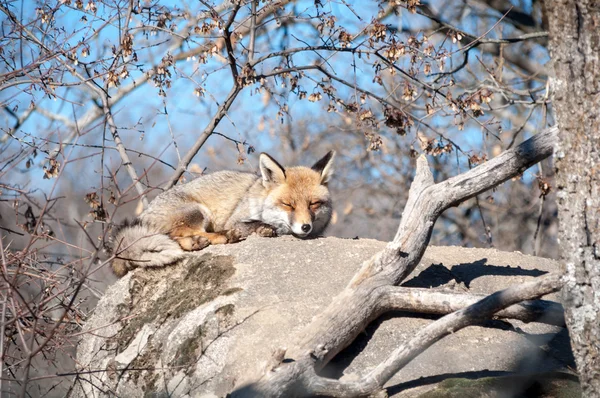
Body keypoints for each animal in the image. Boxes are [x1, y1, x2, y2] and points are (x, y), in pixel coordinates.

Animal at [110, 151, 336, 276]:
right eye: (288, 205)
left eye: (314, 204)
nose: (305, 227)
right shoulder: (234, 219)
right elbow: (250, 224)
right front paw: (263, 228)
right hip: (199, 212)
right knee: (176, 234)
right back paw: (216, 238)